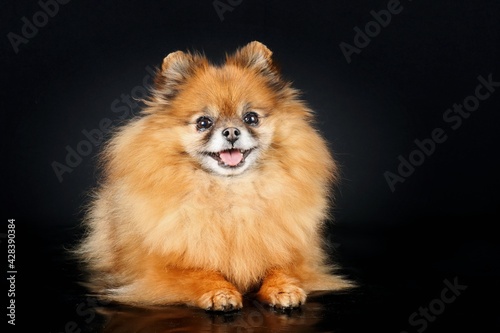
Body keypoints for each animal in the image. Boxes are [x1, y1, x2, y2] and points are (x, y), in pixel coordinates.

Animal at [76, 40, 354, 310]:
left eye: (251, 118)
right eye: (203, 123)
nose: (231, 132)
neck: (230, 192)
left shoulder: (296, 255)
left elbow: (281, 266)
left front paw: (283, 289)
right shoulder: (159, 270)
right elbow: (198, 272)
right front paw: (219, 292)